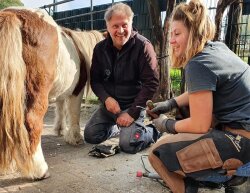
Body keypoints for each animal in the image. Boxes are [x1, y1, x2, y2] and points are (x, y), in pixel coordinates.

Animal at [0, 7, 104, 179]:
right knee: (32, 121)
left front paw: (60, 129)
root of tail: (12, 15)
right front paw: (75, 137)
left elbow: (60, 109)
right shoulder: (77, 90)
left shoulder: (61, 92)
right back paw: (39, 170)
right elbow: (74, 113)